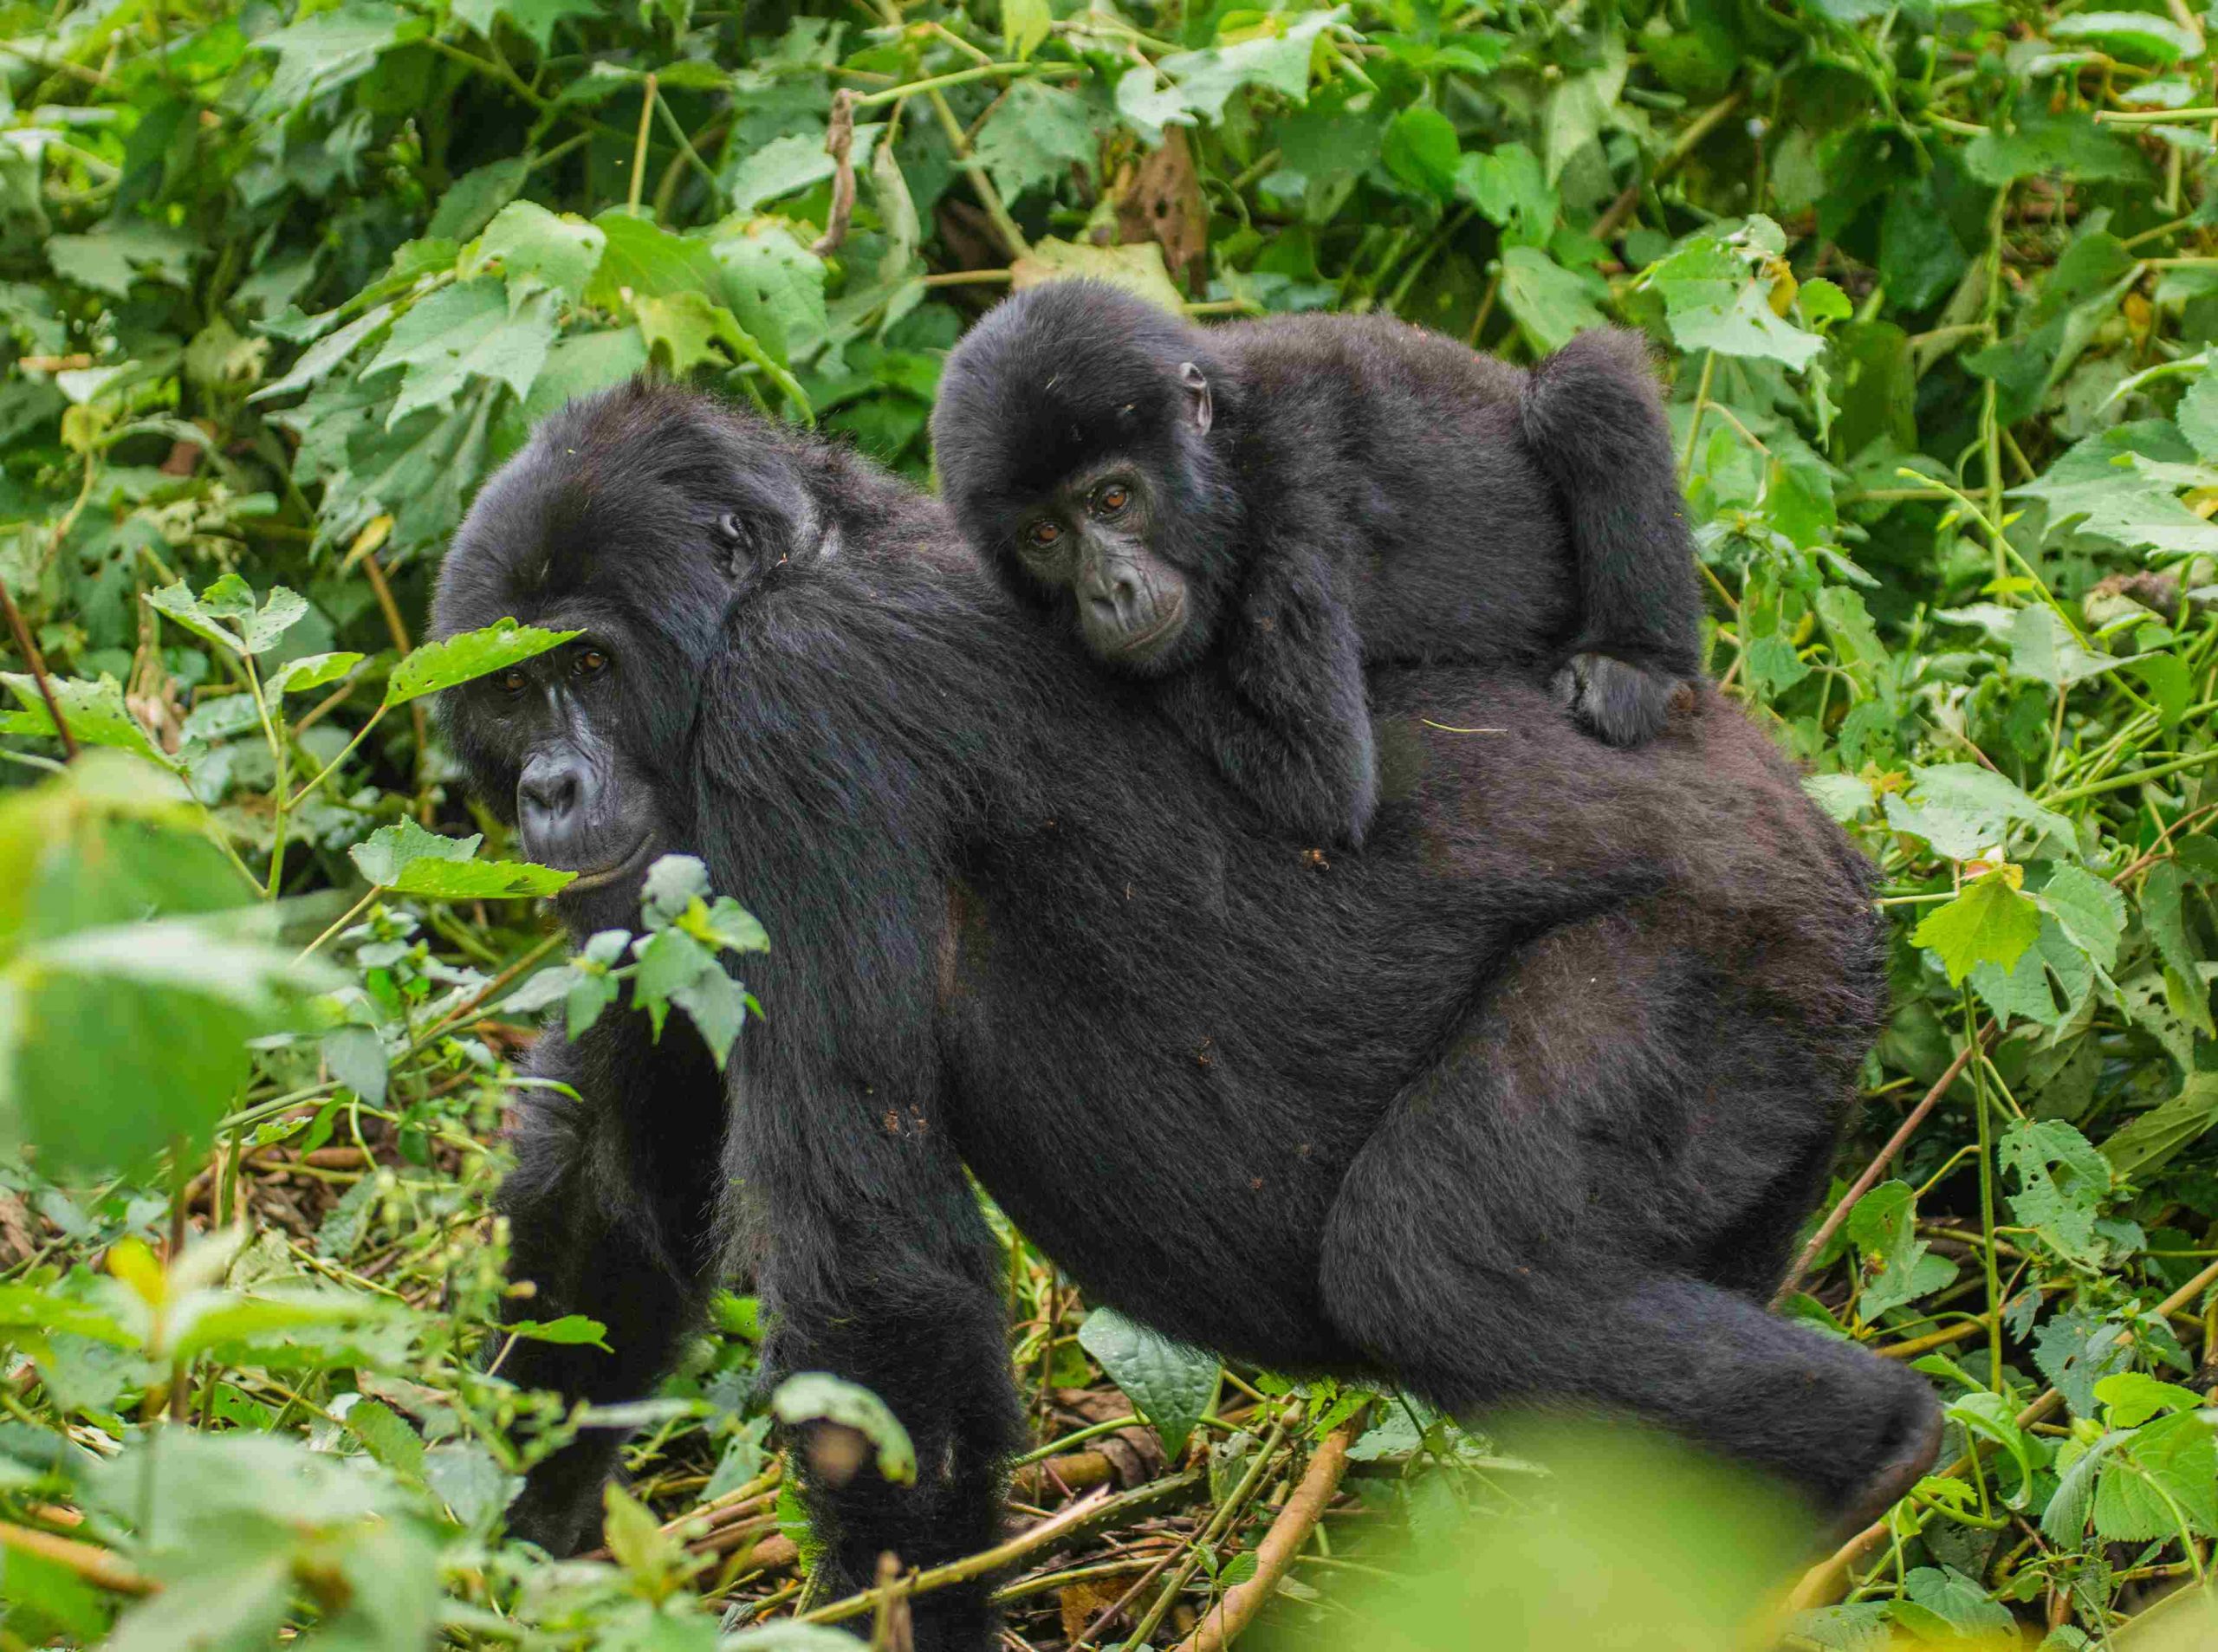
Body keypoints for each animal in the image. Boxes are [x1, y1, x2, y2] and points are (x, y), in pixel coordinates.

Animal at [423, 383, 1934, 1641]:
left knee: (1443, 1263)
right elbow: (606, 1199)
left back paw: (1868, 1458)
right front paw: (507, 1560)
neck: (794, 564)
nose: (549, 789)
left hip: (1744, 936)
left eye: (590, 666)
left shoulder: (797, 707)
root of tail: (1829, 836)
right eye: (509, 686)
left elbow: (873, 1294)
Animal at [931, 282, 1694, 842]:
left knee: (1586, 386)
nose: (1110, 590)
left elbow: (1320, 781)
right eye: (1045, 535)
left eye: (1112, 498)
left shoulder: (1292, 504)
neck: (1226, 454)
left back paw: (1637, 665)